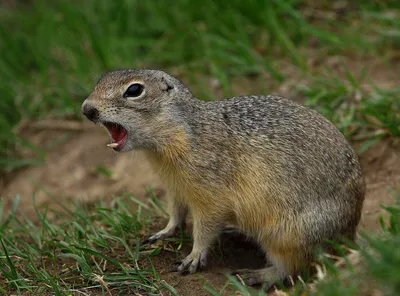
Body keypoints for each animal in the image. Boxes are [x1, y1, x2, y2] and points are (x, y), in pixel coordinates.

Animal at [81, 69, 366, 290]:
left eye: (134, 90)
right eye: (100, 80)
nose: (87, 109)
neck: (180, 134)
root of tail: (349, 235)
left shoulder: (210, 195)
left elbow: (205, 227)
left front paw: (193, 257)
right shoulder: (176, 188)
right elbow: (176, 212)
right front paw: (163, 232)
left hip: (290, 235)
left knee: (294, 266)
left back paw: (258, 275)